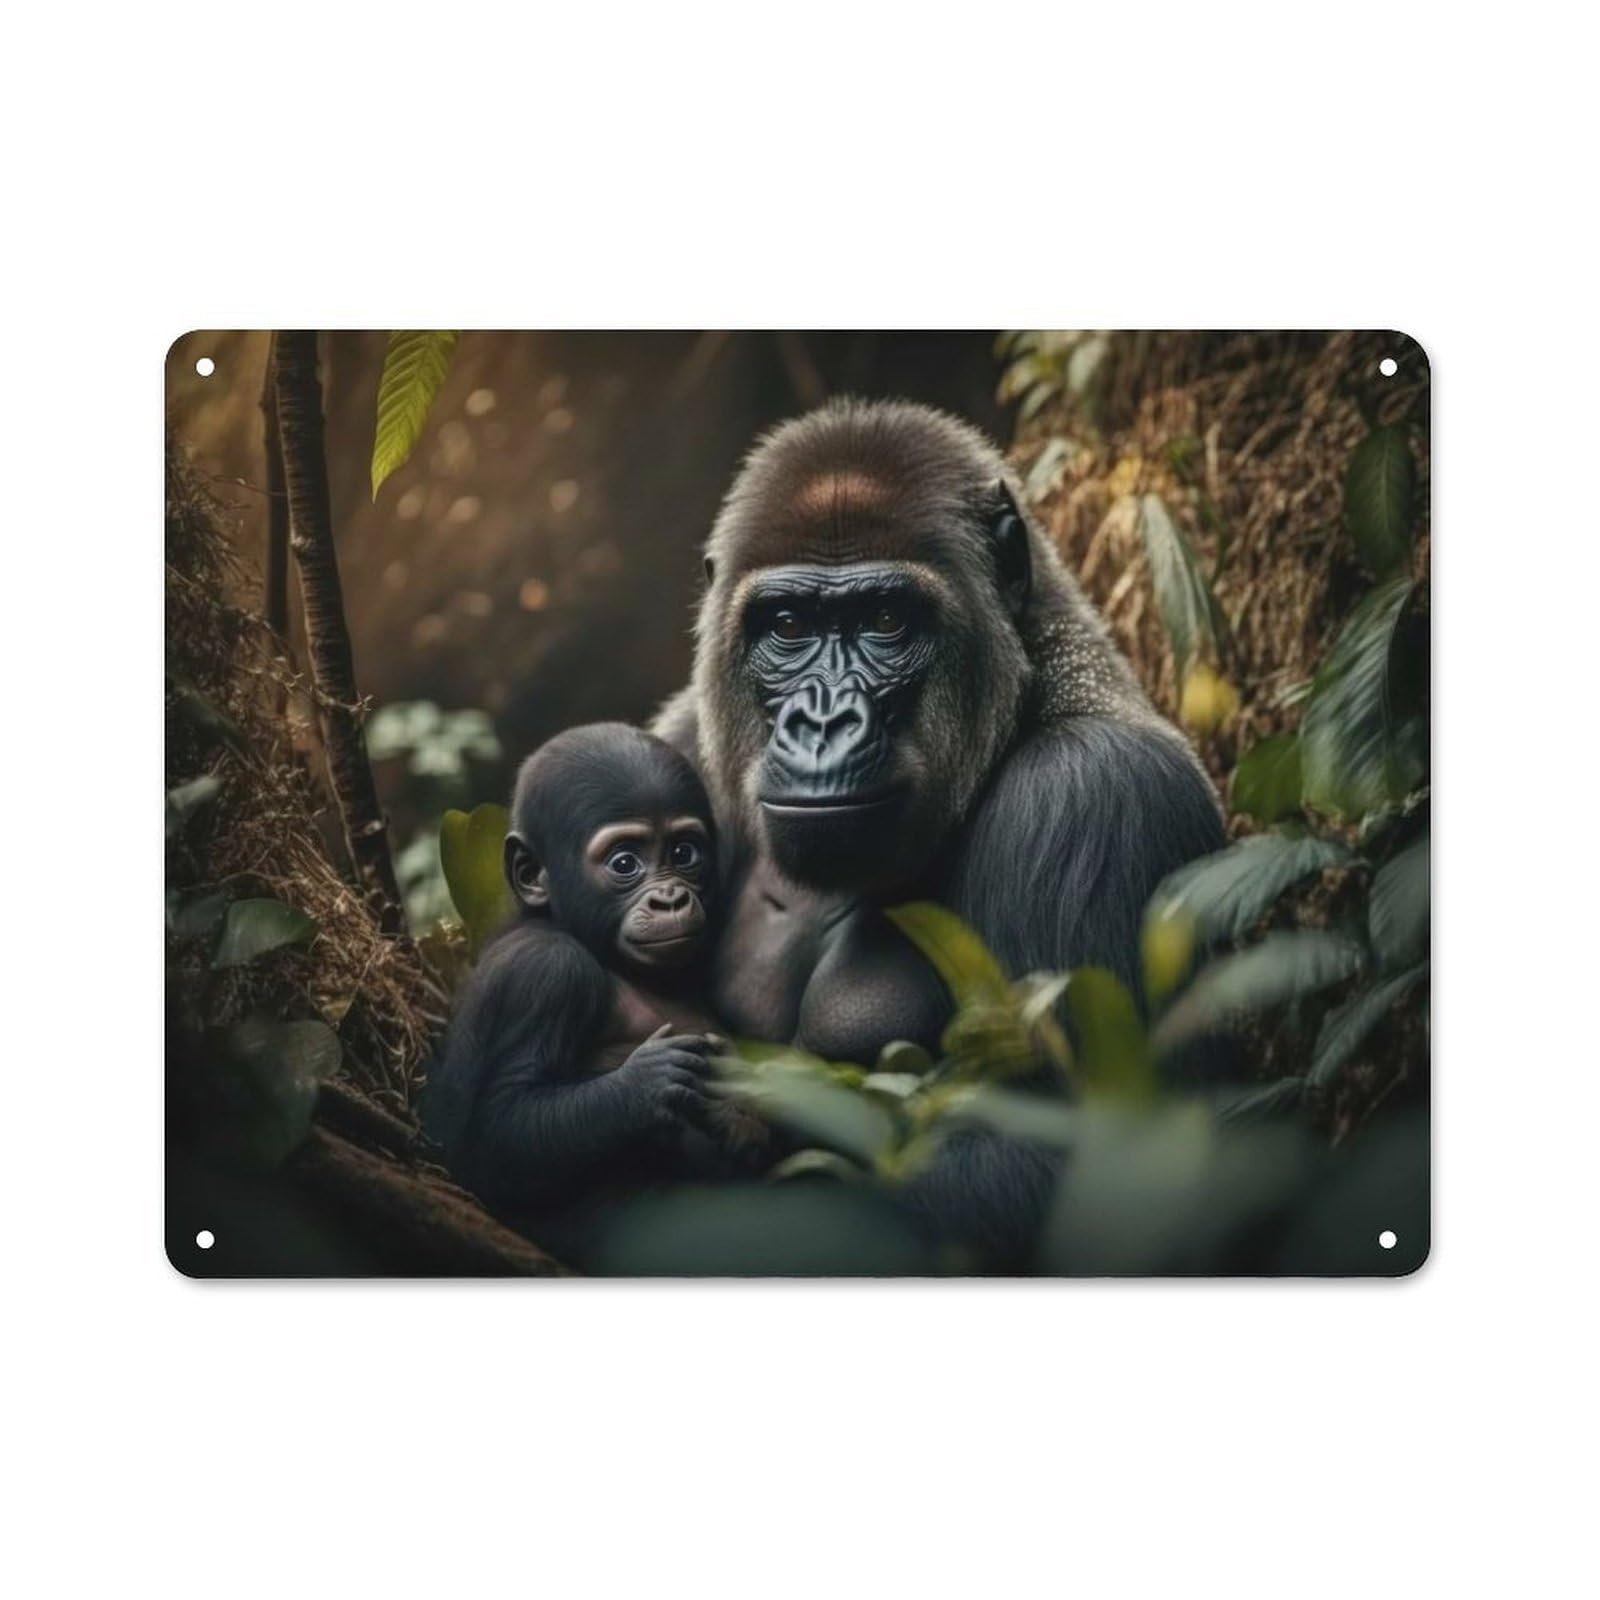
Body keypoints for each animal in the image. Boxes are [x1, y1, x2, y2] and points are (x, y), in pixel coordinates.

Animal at [422, 723, 771, 1246]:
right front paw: (643, 1085)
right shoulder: (541, 973)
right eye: (624, 863)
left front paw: (741, 1111)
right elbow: (495, 1134)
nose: (670, 899)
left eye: (683, 853)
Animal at [653, 399, 1226, 1266]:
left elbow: (1062, 1165)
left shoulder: (1101, 790)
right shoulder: (684, 741)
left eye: (887, 620)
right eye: (786, 625)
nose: (824, 723)